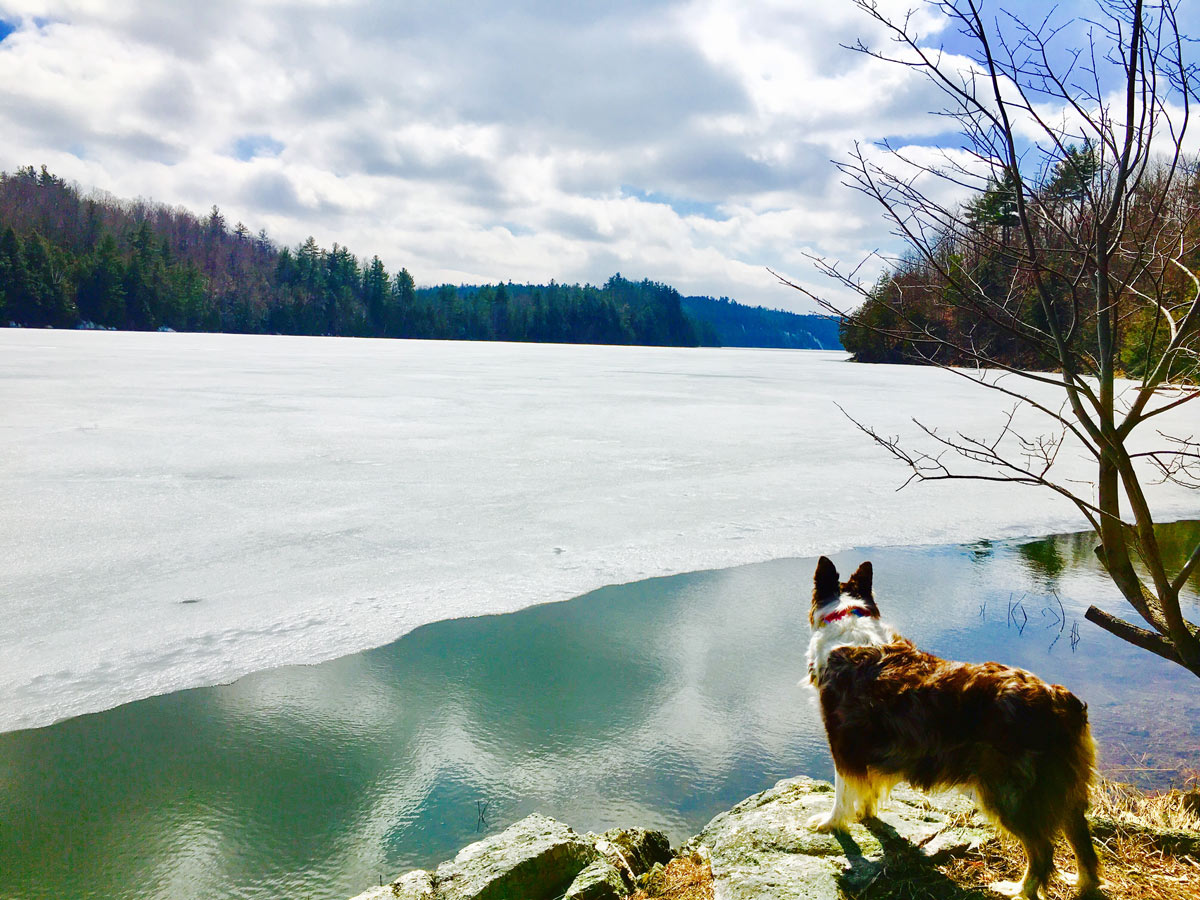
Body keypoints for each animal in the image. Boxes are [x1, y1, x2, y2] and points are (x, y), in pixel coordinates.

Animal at [806, 556, 1099, 900]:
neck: (849, 622)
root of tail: (1060, 697)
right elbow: (868, 790)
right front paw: (866, 815)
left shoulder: (841, 742)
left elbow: (842, 793)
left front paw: (830, 823)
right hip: (1065, 789)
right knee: (1083, 843)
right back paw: (1081, 882)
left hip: (1008, 792)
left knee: (1043, 850)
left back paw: (1019, 890)